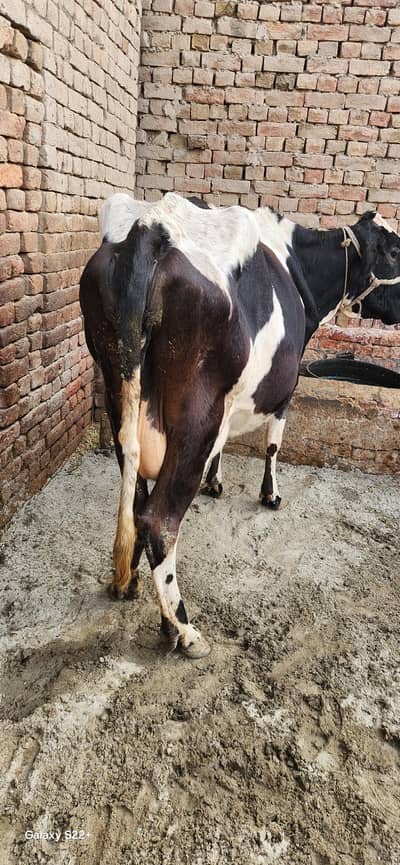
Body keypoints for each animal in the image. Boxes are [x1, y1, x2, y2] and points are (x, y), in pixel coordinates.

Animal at [80, 192, 400, 659]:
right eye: (394, 252)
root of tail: (150, 228)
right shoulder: (286, 386)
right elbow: (273, 444)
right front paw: (271, 495)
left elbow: (225, 445)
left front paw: (215, 483)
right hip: (197, 412)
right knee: (160, 519)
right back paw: (183, 630)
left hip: (118, 393)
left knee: (137, 503)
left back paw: (137, 591)